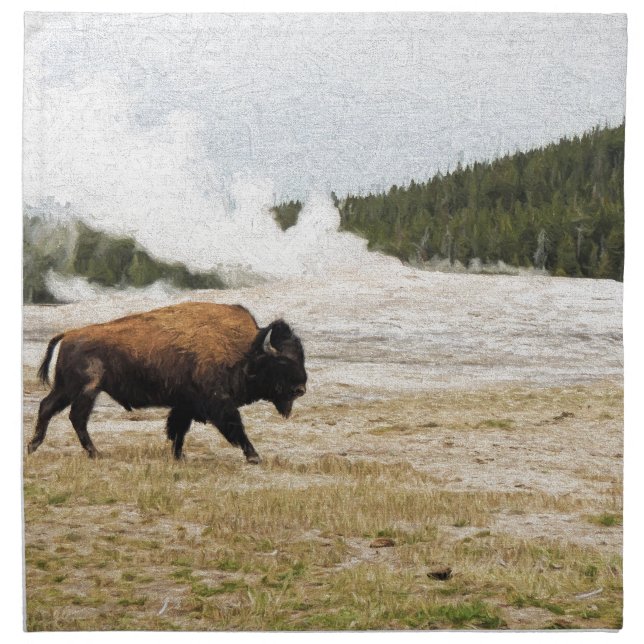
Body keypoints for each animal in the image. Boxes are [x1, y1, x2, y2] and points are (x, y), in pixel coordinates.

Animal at [27, 302, 307, 463]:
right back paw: (94, 453)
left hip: (67, 389)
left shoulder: (185, 405)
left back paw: (33, 447)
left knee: (48, 408)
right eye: (282, 363)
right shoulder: (218, 403)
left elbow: (178, 430)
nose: (301, 389)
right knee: (76, 417)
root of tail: (69, 334)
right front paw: (254, 456)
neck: (246, 350)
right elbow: (235, 427)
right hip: (84, 390)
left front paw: (179, 456)